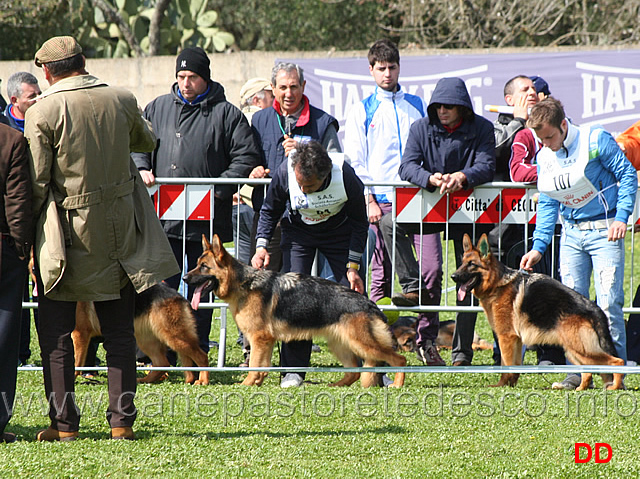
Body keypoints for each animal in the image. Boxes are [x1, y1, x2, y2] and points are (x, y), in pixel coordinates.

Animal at [72, 284, 210, 388]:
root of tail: (177, 295)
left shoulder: (79, 334)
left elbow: (76, 362)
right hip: (146, 341)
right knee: (162, 363)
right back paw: (145, 380)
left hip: (173, 337)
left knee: (202, 356)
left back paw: (203, 380)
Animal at [181, 234, 404, 388]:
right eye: (196, 265)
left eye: (204, 267)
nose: (184, 278)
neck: (244, 283)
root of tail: (370, 304)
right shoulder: (266, 340)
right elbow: (262, 366)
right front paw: (257, 383)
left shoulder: (259, 338)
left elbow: (255, 364)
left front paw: (246, 384)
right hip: (341, 344)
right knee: (355, 372)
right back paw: (337, 385)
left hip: (363, 344)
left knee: (399, 360)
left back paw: (397, 384)